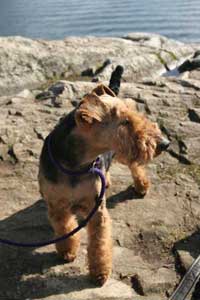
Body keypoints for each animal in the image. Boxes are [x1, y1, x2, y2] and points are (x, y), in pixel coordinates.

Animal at [38, 68, 170, 286]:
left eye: (133, 113)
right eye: (125, 121)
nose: (165, 143)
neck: (76, 166)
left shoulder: (97, 209)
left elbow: (99, 244)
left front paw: (100, 273)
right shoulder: (57, 205)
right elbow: (65, 229)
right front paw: (67, 252)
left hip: (126, 157)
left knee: (136, 167)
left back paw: (141, 186)